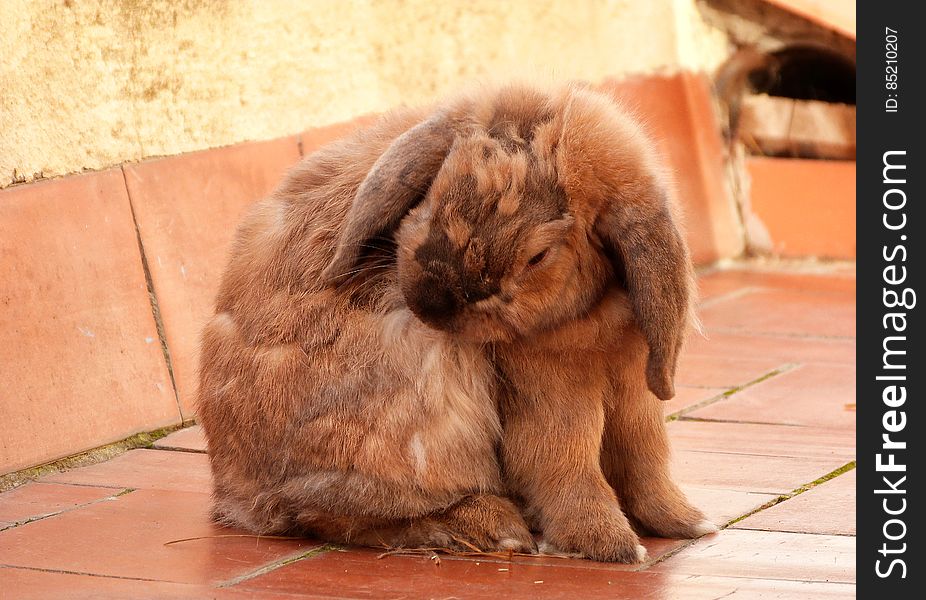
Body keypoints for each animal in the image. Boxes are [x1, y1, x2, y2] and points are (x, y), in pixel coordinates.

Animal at [198, 81, 716, 564]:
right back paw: (495, 528)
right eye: (434, 194)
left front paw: (685, 523)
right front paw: (611, 546)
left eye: (539, 255)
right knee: (332, 511)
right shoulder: (549, 390)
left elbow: (645, 460)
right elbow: (566, 461)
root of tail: (235, 494)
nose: (432, 304)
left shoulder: (634, 389)